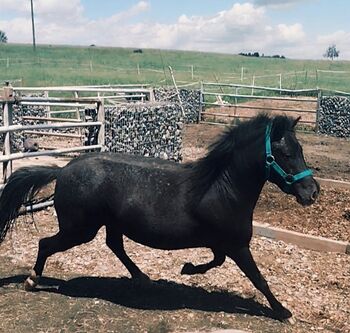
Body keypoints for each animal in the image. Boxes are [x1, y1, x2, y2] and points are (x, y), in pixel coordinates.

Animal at [0, 113, 318, 320]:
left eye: (300, 149)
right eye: (285, 153)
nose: (312, 192)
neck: (222, 187)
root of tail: (62, 170)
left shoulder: (221, 244)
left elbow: (216, 262)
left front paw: (187, 269)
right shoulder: (238, 246)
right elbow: (259, 279)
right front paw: (283, 312)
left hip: (108, 224)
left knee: (114, 246)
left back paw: (143, 278)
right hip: (79, 229)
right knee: (45, 243)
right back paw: (32, 281)